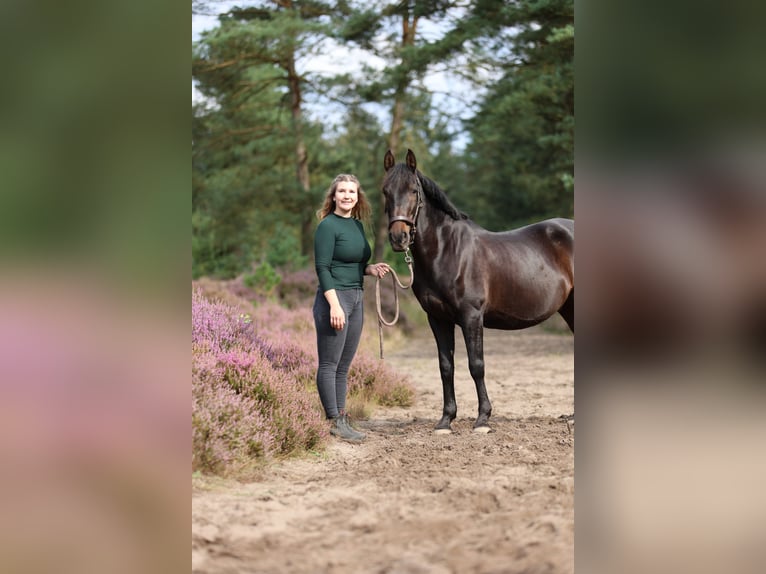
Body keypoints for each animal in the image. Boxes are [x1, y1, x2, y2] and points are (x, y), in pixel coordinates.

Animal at [384, 151, 576, 434]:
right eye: (385, 191)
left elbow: (476, 365)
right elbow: (446, 366)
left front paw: (483, 419)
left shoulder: (471, 316)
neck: (446, 250)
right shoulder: (437, 318)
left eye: (413, 190)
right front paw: (445, 421)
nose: (399, 238)